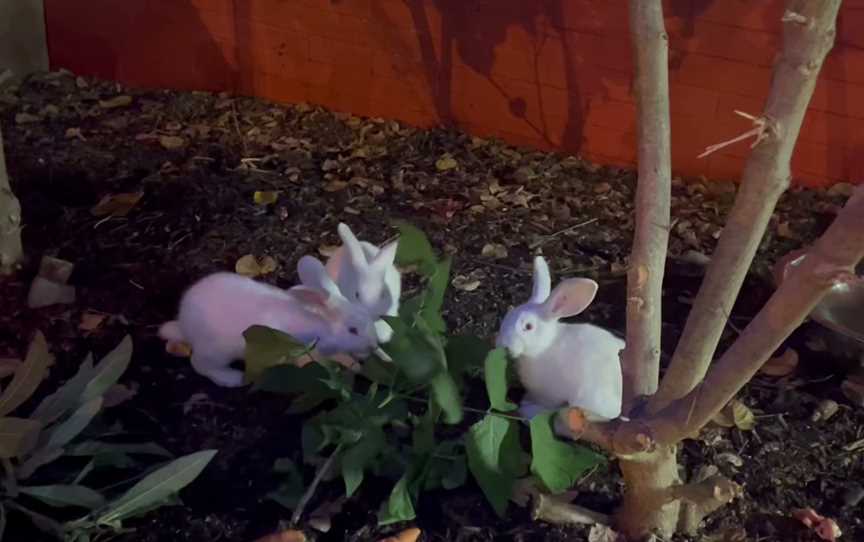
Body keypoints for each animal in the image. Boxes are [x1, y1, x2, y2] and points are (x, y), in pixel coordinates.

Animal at [159, 262, 378, 386]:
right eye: (353, 330)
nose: (374, 345)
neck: (319, 323)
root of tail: (183, 325)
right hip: (215, 353)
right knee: (199, 365)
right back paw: (234, 379)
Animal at [496, 258, 624, 422]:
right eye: (507, 316)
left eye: (528, 326)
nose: (502, 344)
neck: (544, 347)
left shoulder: (549, 395)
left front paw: (527, 405)